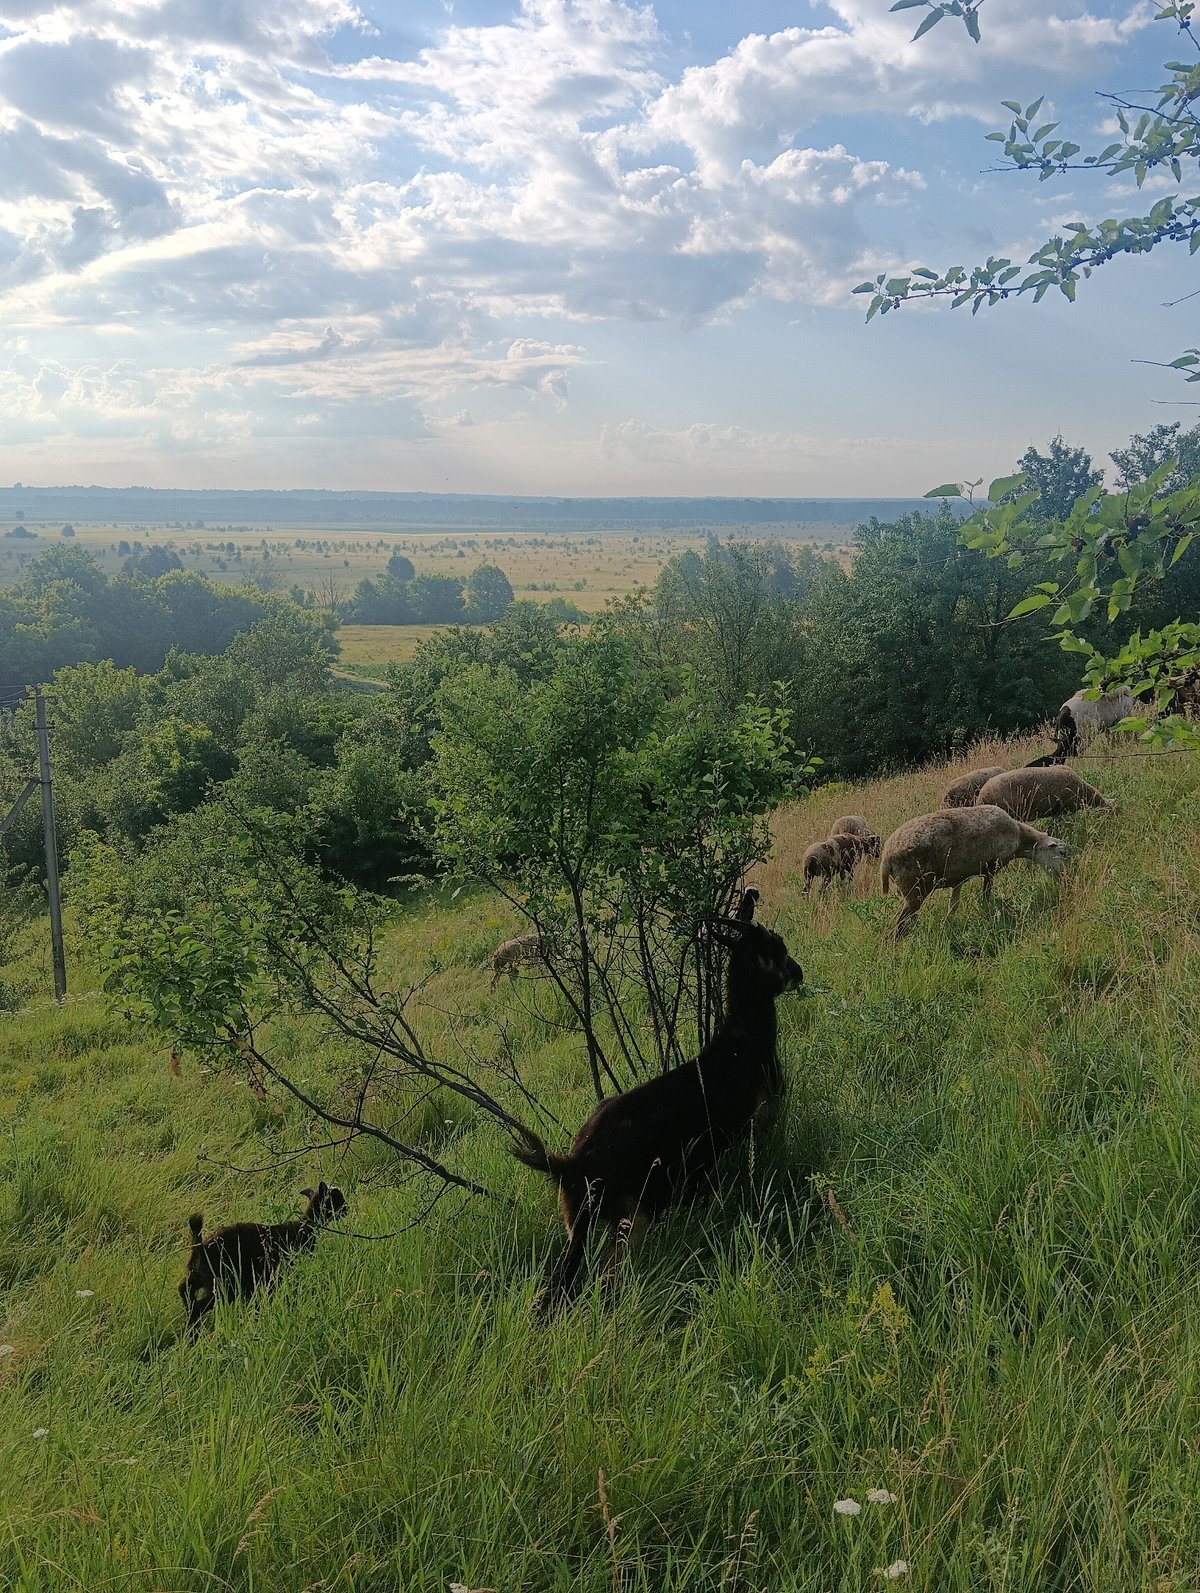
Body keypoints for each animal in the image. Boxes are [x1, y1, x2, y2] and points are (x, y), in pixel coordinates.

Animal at [179, 1181, 347, 1332]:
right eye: (337, 1198)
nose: (347, 1209)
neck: (304, 1228)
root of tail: (201, 1248)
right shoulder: (280, 1275)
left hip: (202, 1277)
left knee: (184, 1289)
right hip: (224, 1285)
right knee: (199, 1306)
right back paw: (194, 1332)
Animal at [510, 913, 803, 1316]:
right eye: (776, 948)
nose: (798, 972)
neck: (743, 1041)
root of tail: (571, 1165)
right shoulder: (761, 1121)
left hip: (579, 1227)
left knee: (560, 1285)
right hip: (633, 1216)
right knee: (606, 1275)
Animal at [880, 804, 1068, 940]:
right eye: (1061, 853)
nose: (1065, 877)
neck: (1021, 838)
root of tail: (886, 858)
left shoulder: (958, 878)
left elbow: (953, 905)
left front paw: (946, 924)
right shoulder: (992, 866)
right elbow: (985, 894)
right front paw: (985, 908)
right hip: (914, 889)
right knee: (900, 924)